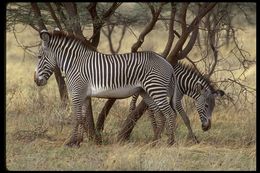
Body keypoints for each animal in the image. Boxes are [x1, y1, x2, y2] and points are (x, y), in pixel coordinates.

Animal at [33, 29, 178, 146]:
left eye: (39, 57)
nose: (36, 81)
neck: (74, 63)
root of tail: (167, 62)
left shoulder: (76, 93)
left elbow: (76, 118)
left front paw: (70, 142)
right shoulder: (84, 95)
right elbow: (83, 118)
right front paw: (78, 141)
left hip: (155, 89)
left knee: (169, 113)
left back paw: (170, 142)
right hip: (146, 92)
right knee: (160, 114)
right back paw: (155, 141)